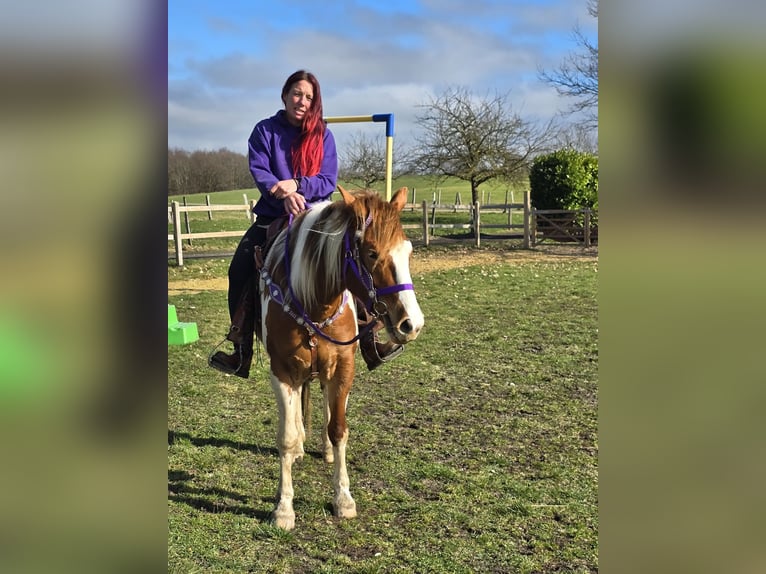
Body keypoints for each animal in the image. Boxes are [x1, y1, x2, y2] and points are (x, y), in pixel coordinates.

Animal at [257, 185, 424, 530]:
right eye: (371, 253)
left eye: (408, 251)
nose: (411, 324)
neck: (314, 303)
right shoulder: (281, 371)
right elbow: (287, 436)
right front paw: (284, 508)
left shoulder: (343, 368)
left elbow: (339, 430)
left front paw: (344, 499)